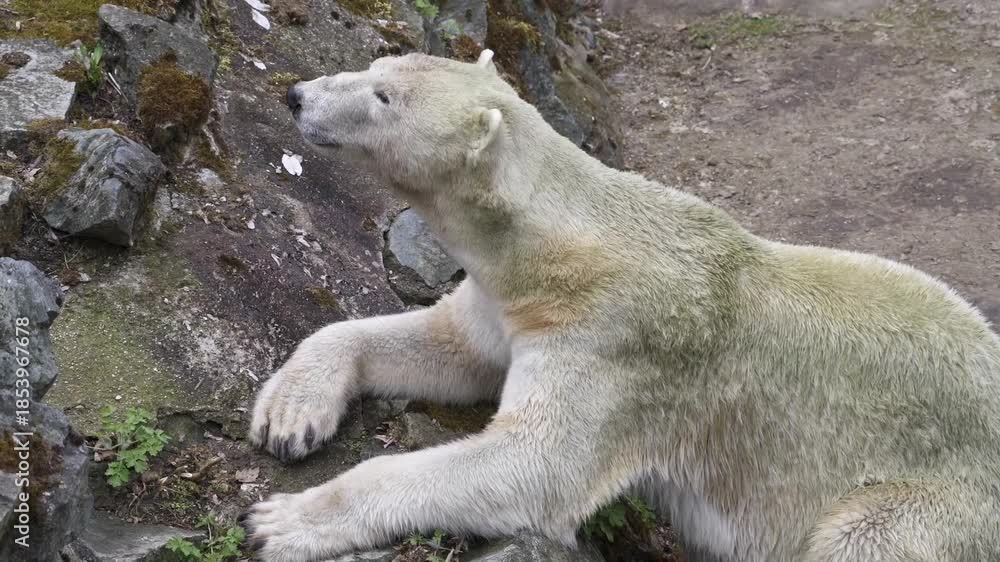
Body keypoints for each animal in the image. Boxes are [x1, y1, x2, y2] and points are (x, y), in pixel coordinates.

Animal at [241, 50, 1000, 561]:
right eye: (377, 66)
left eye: (383, 96)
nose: (296, 94)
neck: (569, 247)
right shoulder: (513, 301)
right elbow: (449, 346)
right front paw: (290, 413)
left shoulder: (618, 344)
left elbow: (536, 465)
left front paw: (280, 520)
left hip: (943, 498)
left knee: (862, 536)